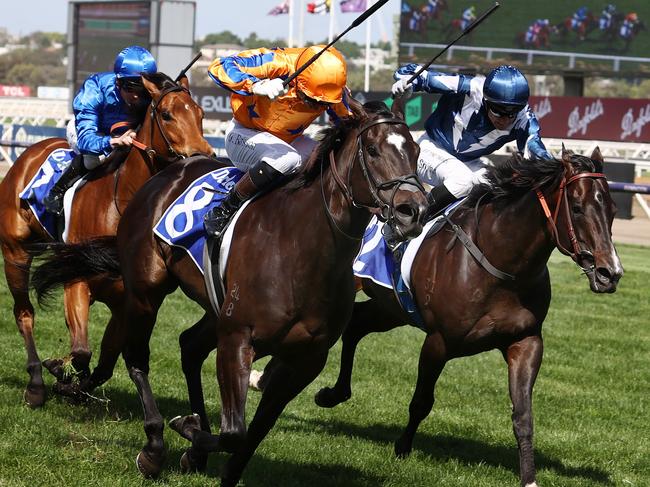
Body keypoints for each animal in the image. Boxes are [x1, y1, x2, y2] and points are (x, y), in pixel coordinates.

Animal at [0, 72, 211, 408]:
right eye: (167, 114)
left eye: (201, 115)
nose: (204, 155)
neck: (120, 203)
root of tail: (32, 152)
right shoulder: (77, 282)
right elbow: (82, 351)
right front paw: (59, 372)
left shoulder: (128, 301)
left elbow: (105, 362)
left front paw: (72, 385)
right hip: (15, 252)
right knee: (24, 314)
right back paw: (35, 383)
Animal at [31, 99, 426, 484]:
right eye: (373, 150)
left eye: (416, 151)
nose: (413, 211)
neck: (305, 248)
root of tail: (164, 175)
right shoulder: (238, 336)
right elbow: (235, 432)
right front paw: (186, 430)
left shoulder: (306, 359)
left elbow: (253, 434)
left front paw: (201, 447)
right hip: (147, 289)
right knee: (137, 356)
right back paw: (154, 446)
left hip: (214, 307)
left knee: (190, 346)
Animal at [314, 149, 624, 487]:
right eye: (578, 208)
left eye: (612, 209)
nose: (610, 273)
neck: (503, 264)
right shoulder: (438, 342)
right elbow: (422, 401)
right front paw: (402, 448)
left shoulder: (525, 341)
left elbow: (523, 415)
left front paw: (528, 477)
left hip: (392, 308)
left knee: (356, 324)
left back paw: (333, 394)